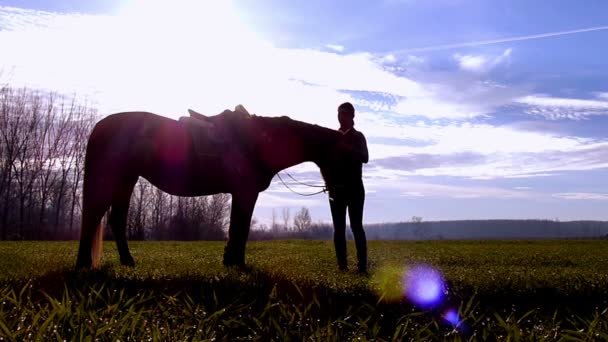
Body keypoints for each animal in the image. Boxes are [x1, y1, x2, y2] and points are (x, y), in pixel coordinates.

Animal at [75, 108, 346, 268]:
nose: (336, 191)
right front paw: (238, 263)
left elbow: (237, 227)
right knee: (92, 217)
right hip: (111, 179)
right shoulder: (246, 192)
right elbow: (241, 229)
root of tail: (100, 125)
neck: (260, 141)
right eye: (342, 157)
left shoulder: (241, 193)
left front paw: (231, 260)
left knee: (116, 220)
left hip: (126, 180)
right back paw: (83, 263)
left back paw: (126, 261)